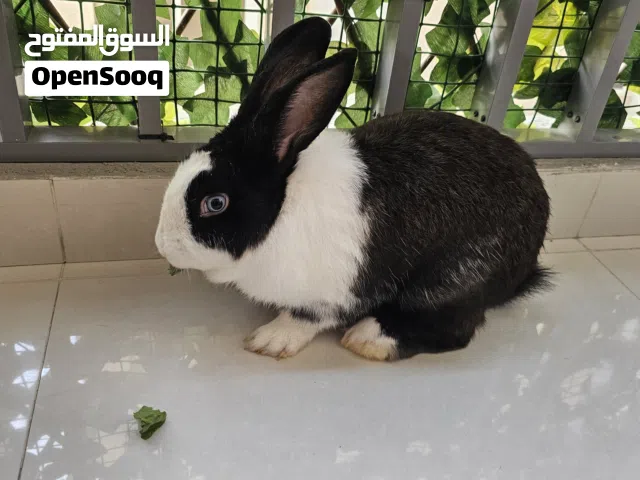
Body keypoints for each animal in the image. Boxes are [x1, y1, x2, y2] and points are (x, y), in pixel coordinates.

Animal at [155, 16, 551, 362]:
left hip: (456, 278)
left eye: (215, 203)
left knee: (455, 328)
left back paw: (369, 338)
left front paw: (269, 340)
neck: (282, 211)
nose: (161, 245)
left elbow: (307, 318)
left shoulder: (340, 291)